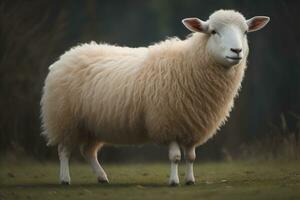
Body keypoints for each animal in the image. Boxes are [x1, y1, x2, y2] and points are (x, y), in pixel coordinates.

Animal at [40, 9, 270, 186]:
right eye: (213, 32)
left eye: (245, 32)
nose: (236, 51)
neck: (191, 62)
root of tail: (67, 55)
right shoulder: (168, 122)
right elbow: (176, 157)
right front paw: (174, 181)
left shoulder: (192, 125)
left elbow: (191, 157)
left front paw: (190, 180)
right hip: (64, 118)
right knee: (63, 150)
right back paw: (65, 179)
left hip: (92, 124)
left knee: (88, 152)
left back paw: (102, 177)